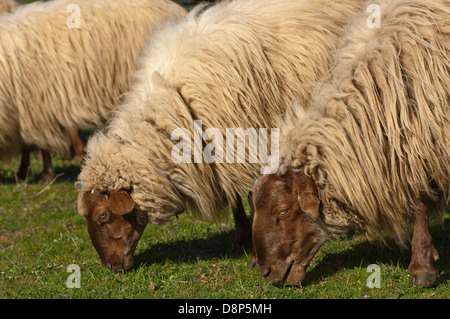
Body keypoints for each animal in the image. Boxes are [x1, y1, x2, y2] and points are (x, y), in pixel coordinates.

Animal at [76, 0, 366, 274]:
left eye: (103, 216)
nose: (109, 267)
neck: (173, 108)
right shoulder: (221, 151)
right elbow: (235, 198)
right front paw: (241, 238)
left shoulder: (250, 139)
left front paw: (254, 253)